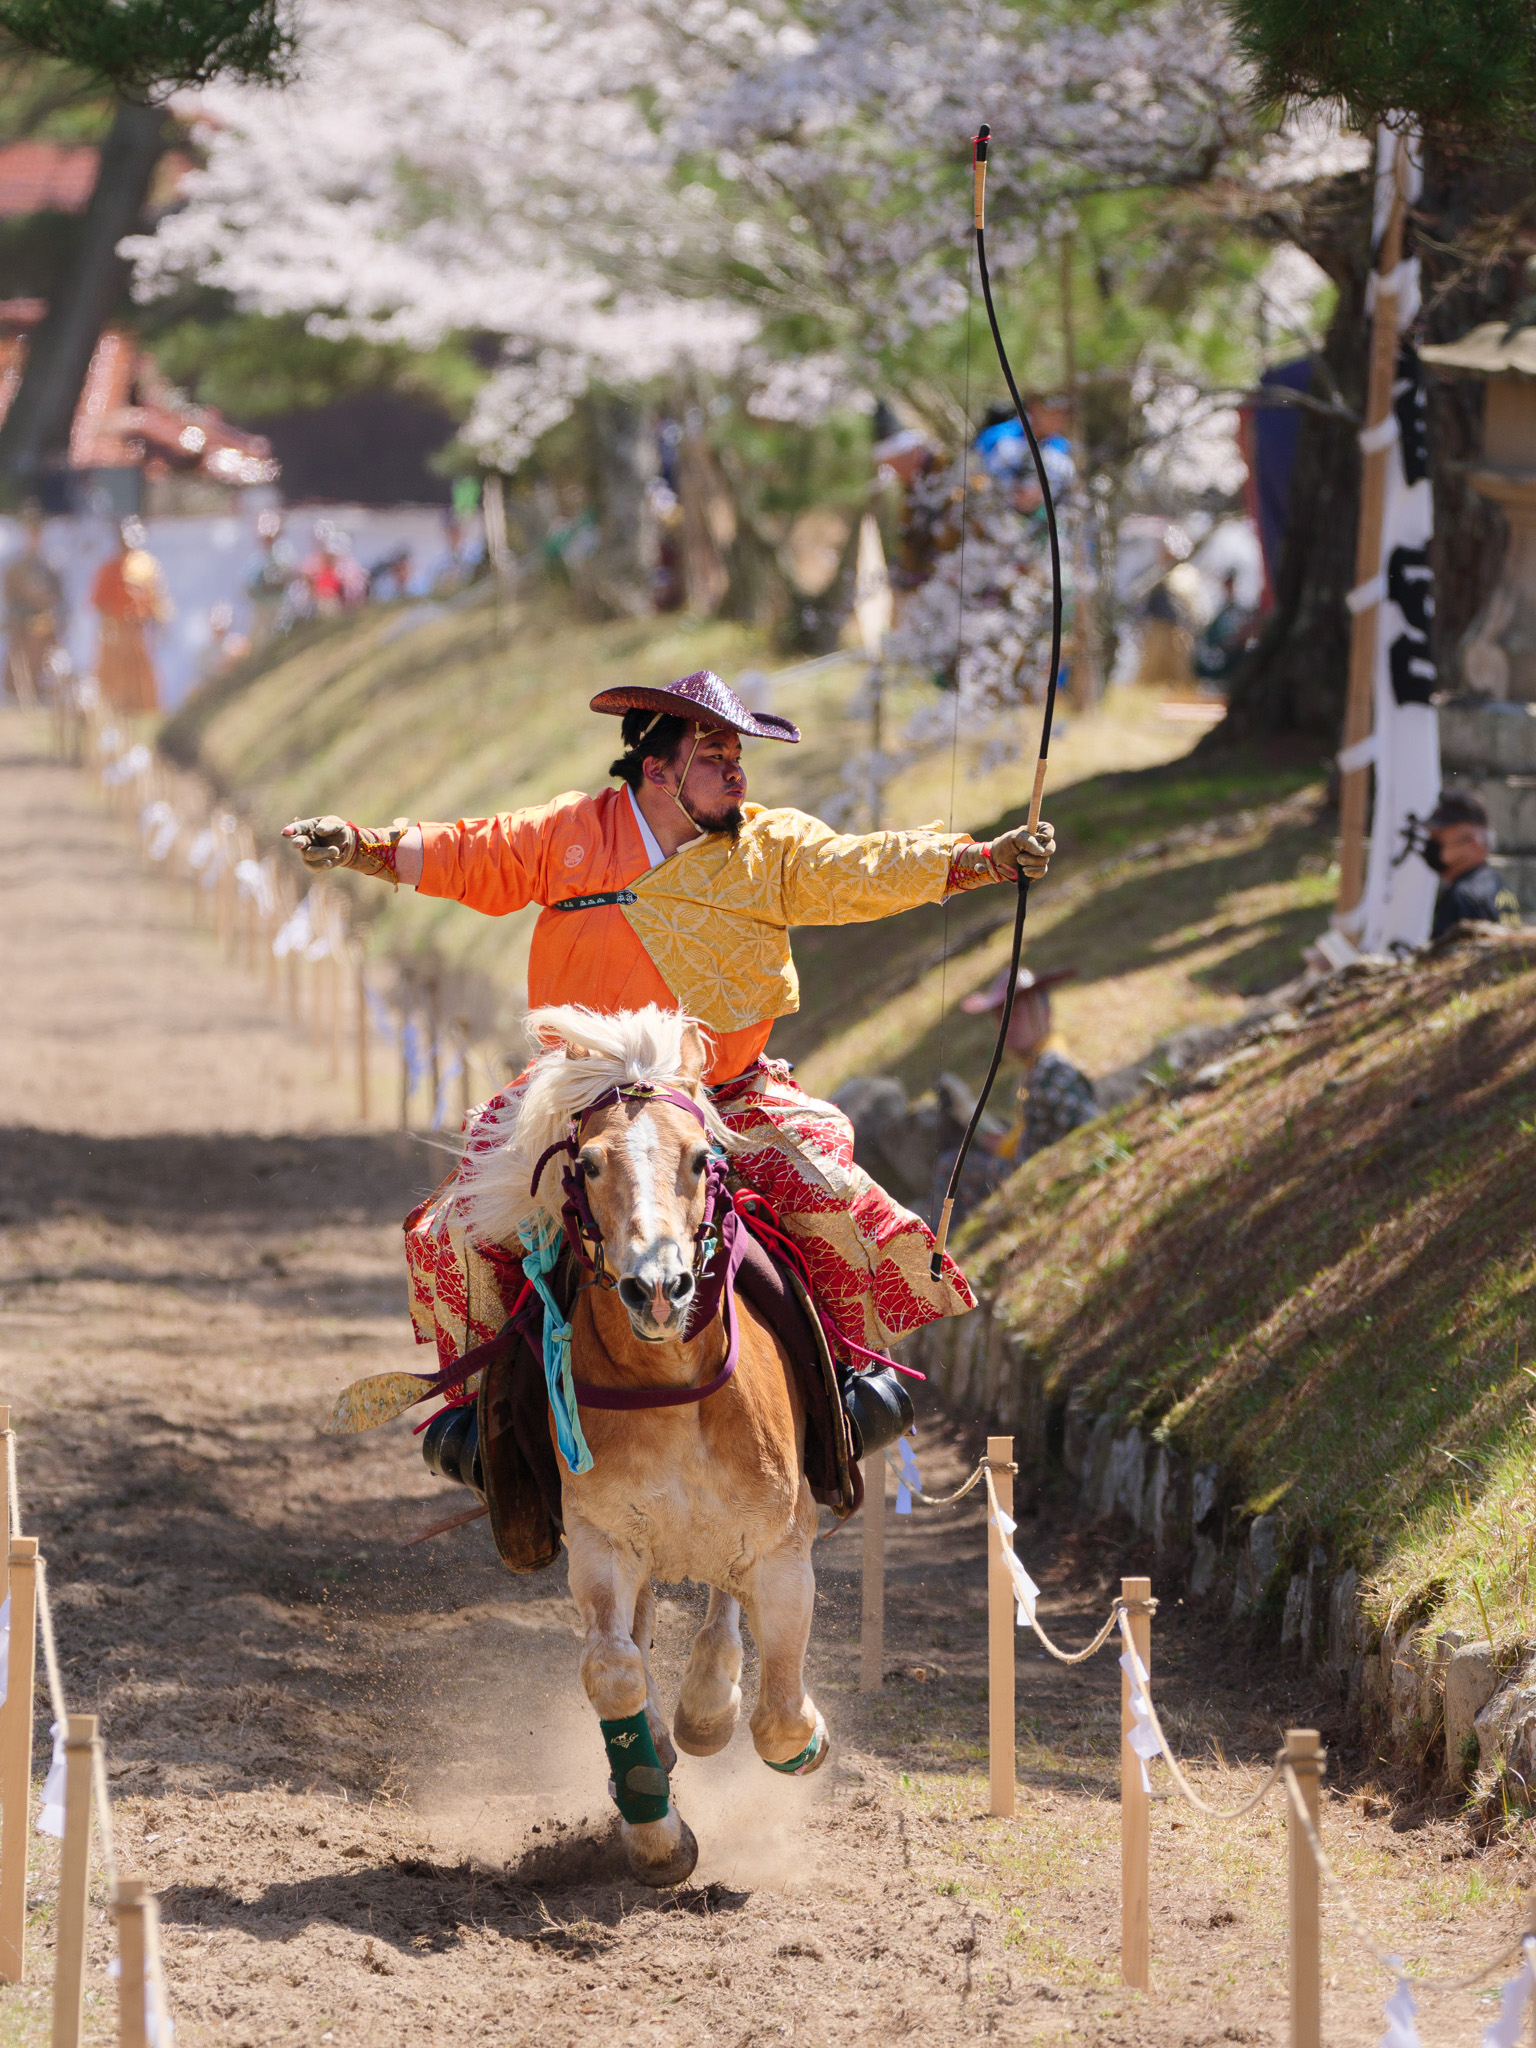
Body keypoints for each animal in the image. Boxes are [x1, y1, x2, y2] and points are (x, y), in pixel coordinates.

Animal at [468, 1007, 831, 1884]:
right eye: (590, 1164)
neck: (671, 1390)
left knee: (722, 1609)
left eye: (701, 1158)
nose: (657, 1288)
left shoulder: (781, 1544)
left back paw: (705, 1705)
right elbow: (613, 1668)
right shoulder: (603, 1540)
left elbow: (778, 1717)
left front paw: (779, 1730)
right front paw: (657, 1833)